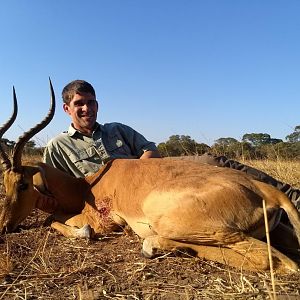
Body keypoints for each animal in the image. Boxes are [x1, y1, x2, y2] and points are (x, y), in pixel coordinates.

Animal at [0, 81, 298, 274]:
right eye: (5, 184)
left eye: (23, 184)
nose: (4, 226)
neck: (87, 185)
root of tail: (265, 190)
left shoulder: (105, 222)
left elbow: (53, 221)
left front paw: (82, 233)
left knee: (276, 262)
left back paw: (152, 246)